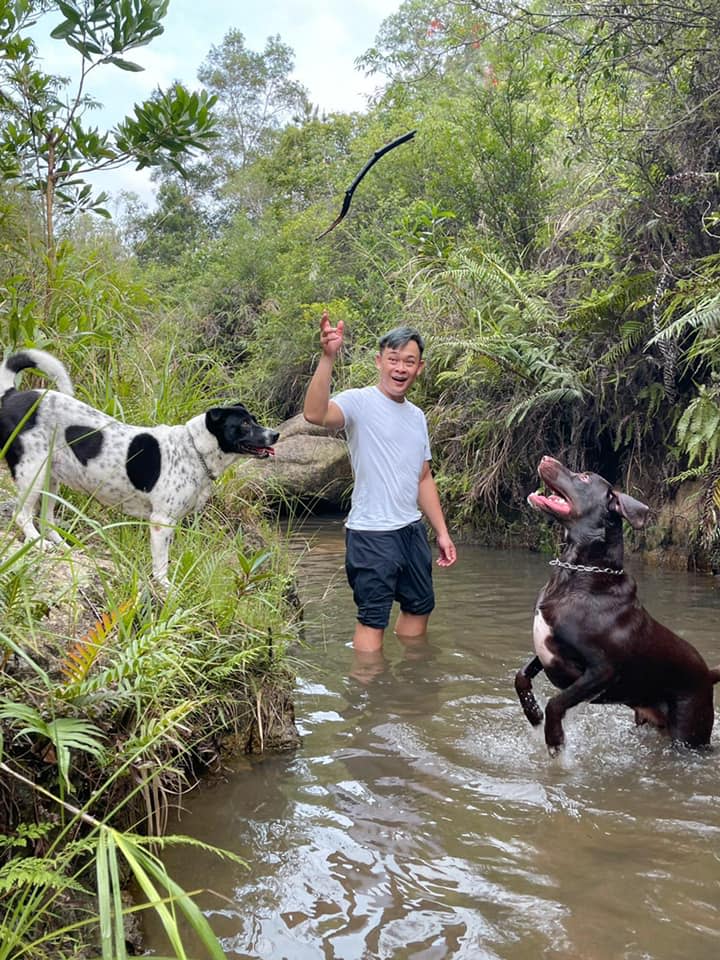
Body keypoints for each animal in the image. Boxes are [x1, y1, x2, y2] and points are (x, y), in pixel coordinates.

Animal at [0, 348, 278, 588]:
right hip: (32, 473)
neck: (194, 449)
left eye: (254, 420)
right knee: (22, 514)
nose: (275, 434)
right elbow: (161, 563)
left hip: (51, 478)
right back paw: (36, 543)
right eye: (244, 424)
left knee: (46, 519)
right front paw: (165, 587)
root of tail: (12, 394)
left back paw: (63, 546)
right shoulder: (161, 522)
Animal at [516, 460, 716, 756]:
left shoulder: (602, 671)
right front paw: (533, 714)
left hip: (689, 734)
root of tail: (709, 675)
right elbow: (521, 677)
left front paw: (555, 740)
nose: (545, 459)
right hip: (648, 721)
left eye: (584, 478)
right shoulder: (547, 648)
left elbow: (557, 701)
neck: (579, 575)